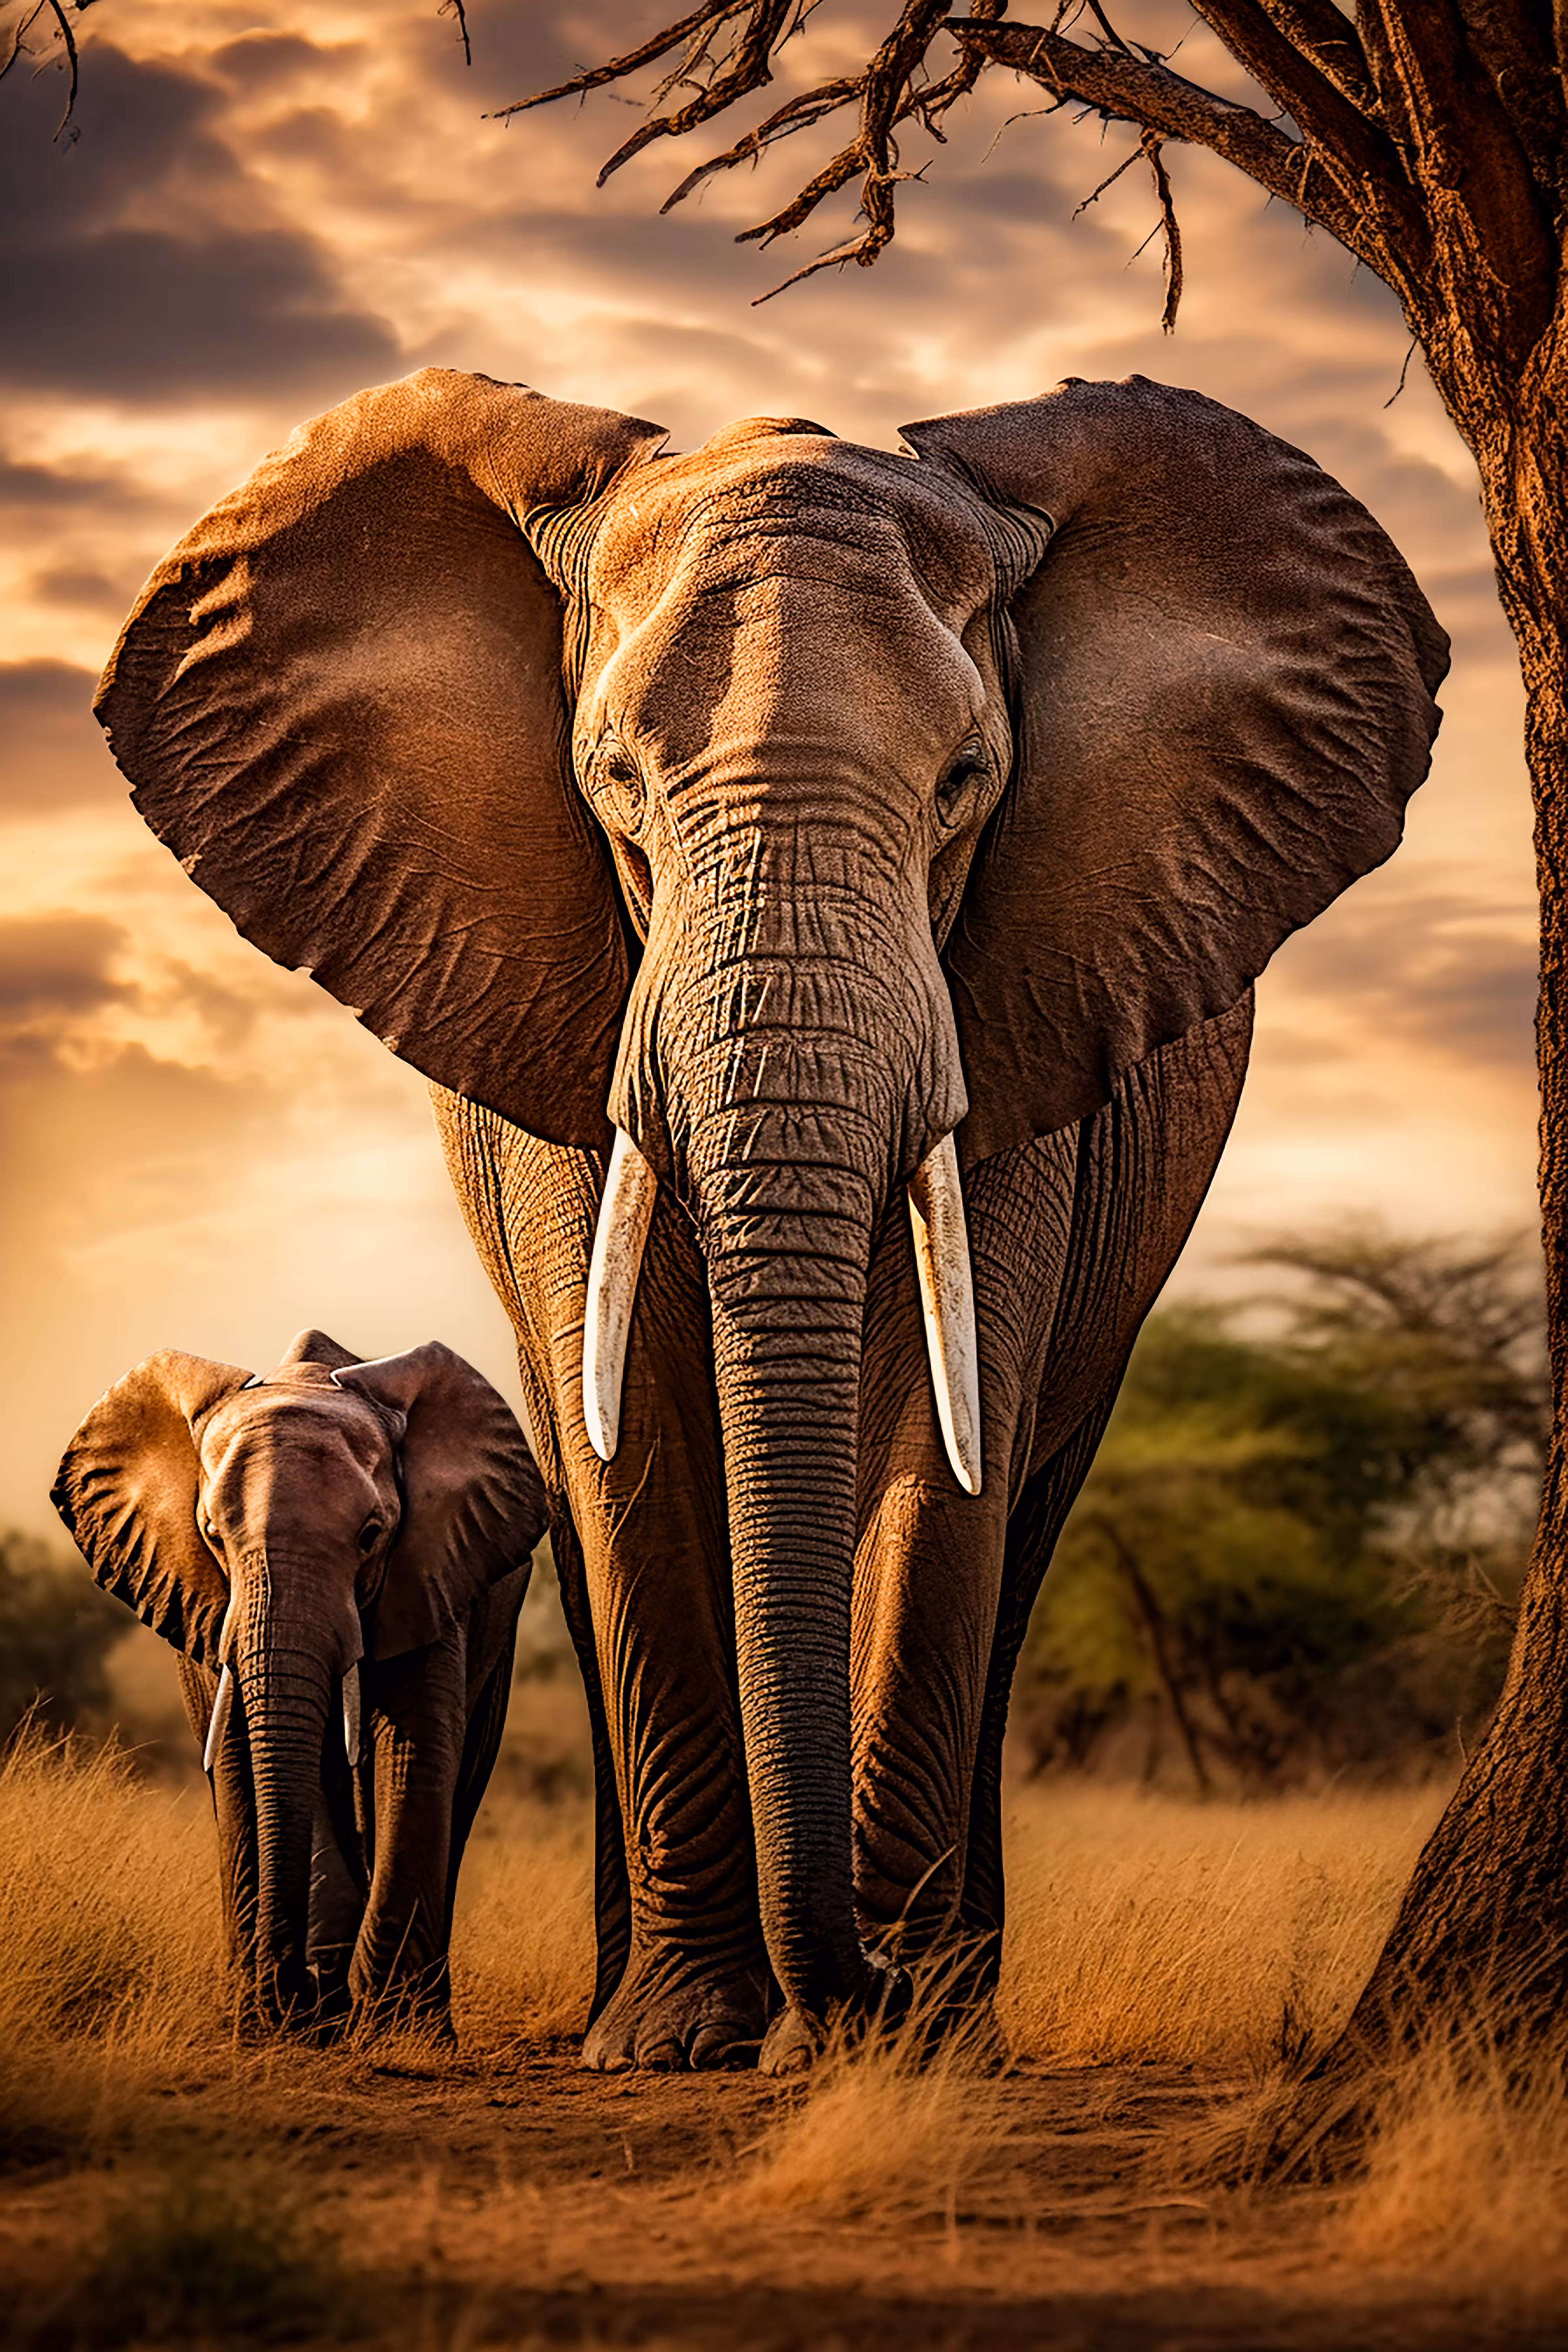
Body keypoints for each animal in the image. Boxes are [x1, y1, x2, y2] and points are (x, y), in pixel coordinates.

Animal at [52, 1329, 547, 2034]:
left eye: (371, 1536)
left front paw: (391, 2029)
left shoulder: (432, 1567)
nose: (289, 1987)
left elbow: (415, 1750)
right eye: (212, 1535)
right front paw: (285, 2016)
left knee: (464, 1772)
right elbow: (252, 1758)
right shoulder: (205, 1598)